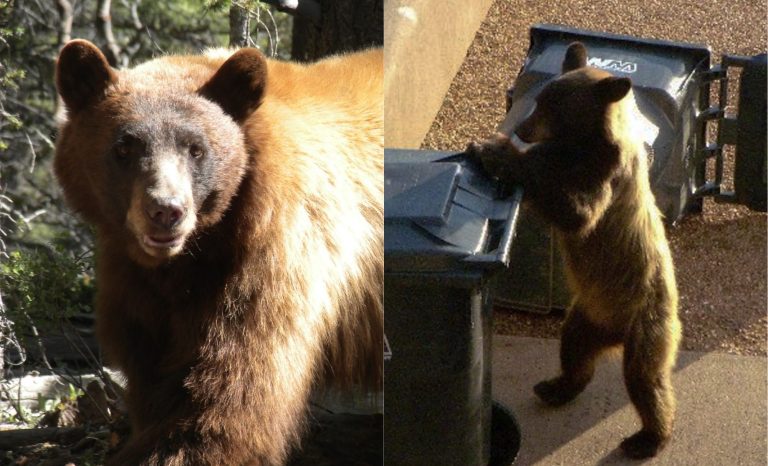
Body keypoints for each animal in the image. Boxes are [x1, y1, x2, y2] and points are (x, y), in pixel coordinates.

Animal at [54, 39, 383, 465]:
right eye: (124, 146)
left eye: (196, 149)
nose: (166, 210)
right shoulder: (134, 281)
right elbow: (148, 365)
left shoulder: (270, 259)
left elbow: (229, 387)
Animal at [467, 42, 681, 459]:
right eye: (538, 100)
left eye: (554, 107)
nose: (521, 128)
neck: (583, 144)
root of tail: (615, 334)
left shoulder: (605, 174)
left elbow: (579, 213)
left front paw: (499, 152)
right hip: (586, 315)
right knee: (574, 350)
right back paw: (556, 386)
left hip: (647, 321)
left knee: (646, 379)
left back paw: (648, 438)